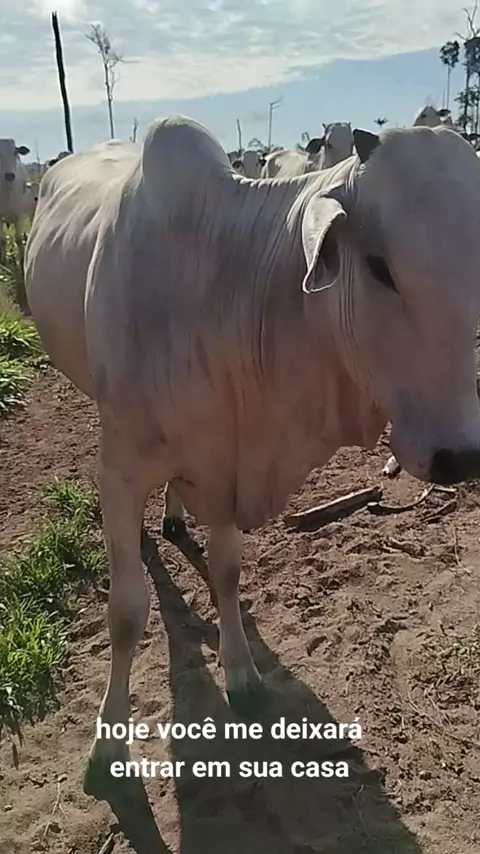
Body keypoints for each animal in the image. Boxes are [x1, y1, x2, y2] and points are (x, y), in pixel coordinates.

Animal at [24, 116, 480, 799]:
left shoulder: (227, 462)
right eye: (380, 268)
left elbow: (227, 572)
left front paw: (241, 672)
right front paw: (107, 746)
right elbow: (126, 612)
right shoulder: (122, 467)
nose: (461, 455)